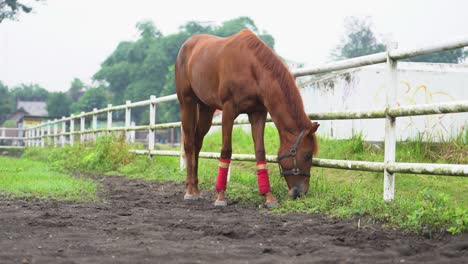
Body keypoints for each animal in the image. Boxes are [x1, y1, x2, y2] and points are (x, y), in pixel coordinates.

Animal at [176, 28, 318, 206]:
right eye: (307, 155)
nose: (301, 192)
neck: (251, 68)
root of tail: (187, 45)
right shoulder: (228, 111)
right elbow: (226, 150)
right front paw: (220, 196)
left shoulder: (258, 113)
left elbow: (260, 151)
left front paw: (269, 197)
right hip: (187, 102)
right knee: (189, 143)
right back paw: (189, 190)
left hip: (206, 108)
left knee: (197, 142)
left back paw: (195, 188)